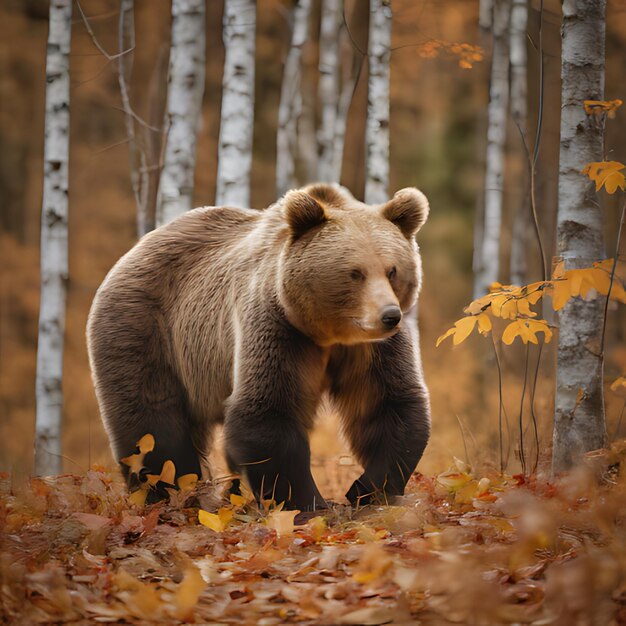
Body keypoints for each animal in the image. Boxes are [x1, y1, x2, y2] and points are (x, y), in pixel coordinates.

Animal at [86, 183, 428, 510]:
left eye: (392, 270)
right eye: (355, 273)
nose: (389, 316)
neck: (329, 333)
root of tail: (135, 249)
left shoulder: (371, 348)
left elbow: (387, 404)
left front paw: (366, 489)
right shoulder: (277, 325)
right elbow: (267, 414)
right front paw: (309, 502)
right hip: (147, 327)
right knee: (153, 426)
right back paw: (169, 493)